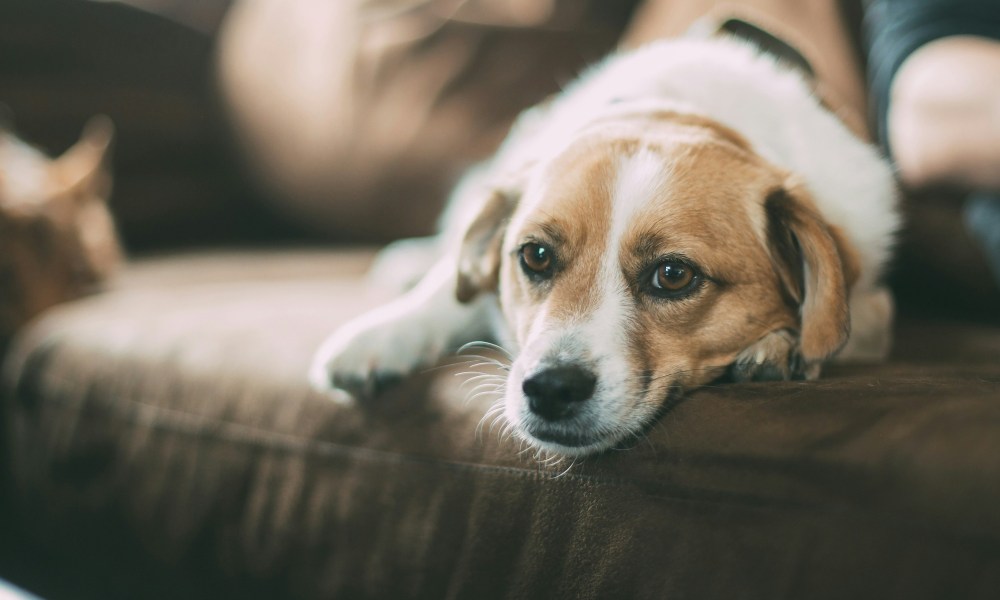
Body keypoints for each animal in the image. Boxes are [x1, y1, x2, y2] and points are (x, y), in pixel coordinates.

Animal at [310, 35, 900, 458]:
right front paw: (383, 335)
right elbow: (448, 291)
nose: (550, 388)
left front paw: (781, 345)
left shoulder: (872, 300)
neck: (676, 110)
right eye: (535, 256)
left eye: (673, 275)